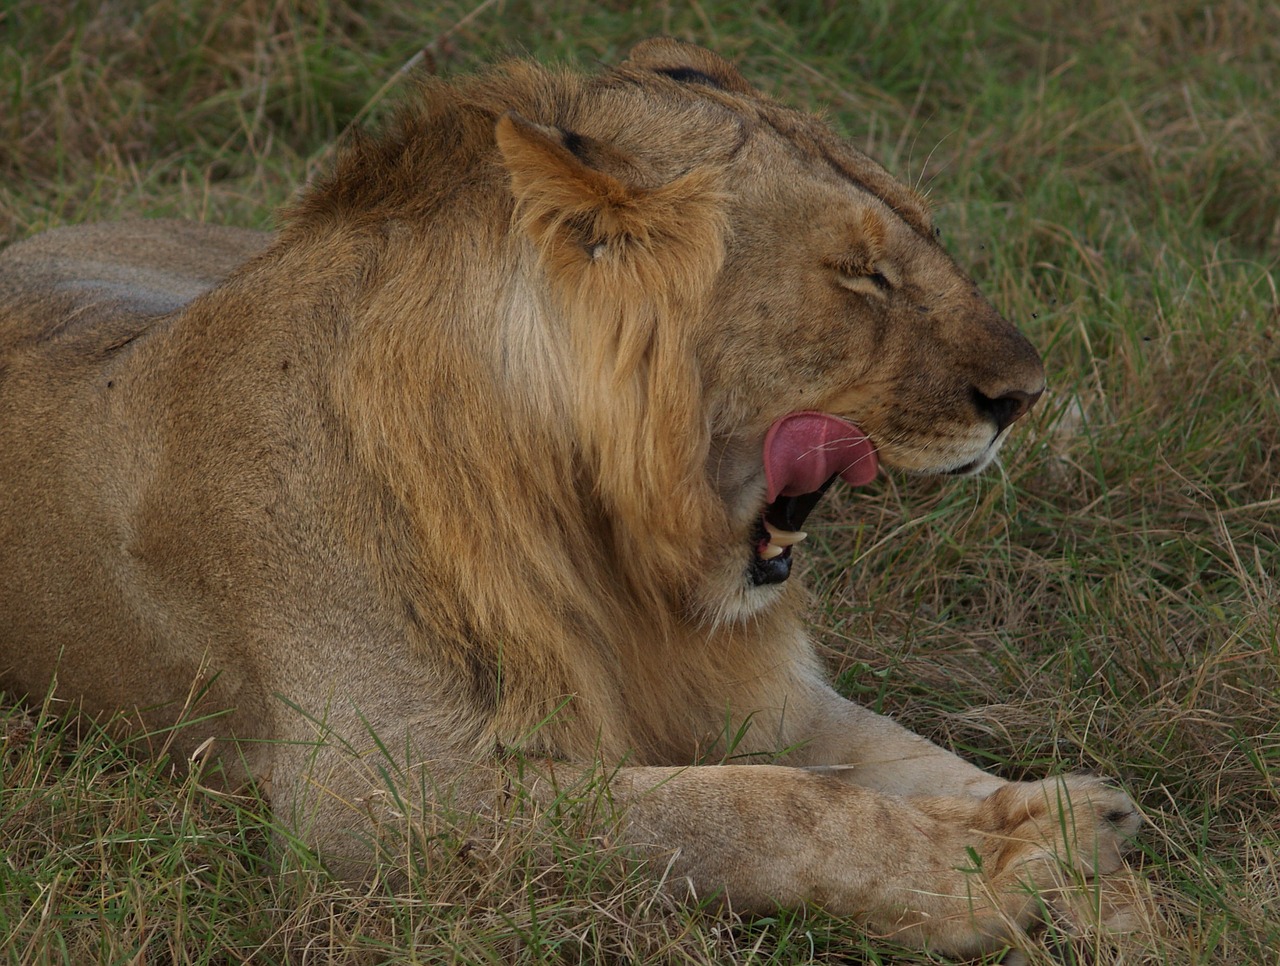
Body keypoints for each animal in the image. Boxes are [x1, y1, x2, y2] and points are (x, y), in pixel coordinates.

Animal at [0, 39, 1141, 962]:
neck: (614, 547)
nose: (1023, 394)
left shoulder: (761, 694)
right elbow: (756, 809)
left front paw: (1093, 856)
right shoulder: (379, 805)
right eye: (861, 275)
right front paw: (998, 876)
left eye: (923, 235)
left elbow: (905, 759)